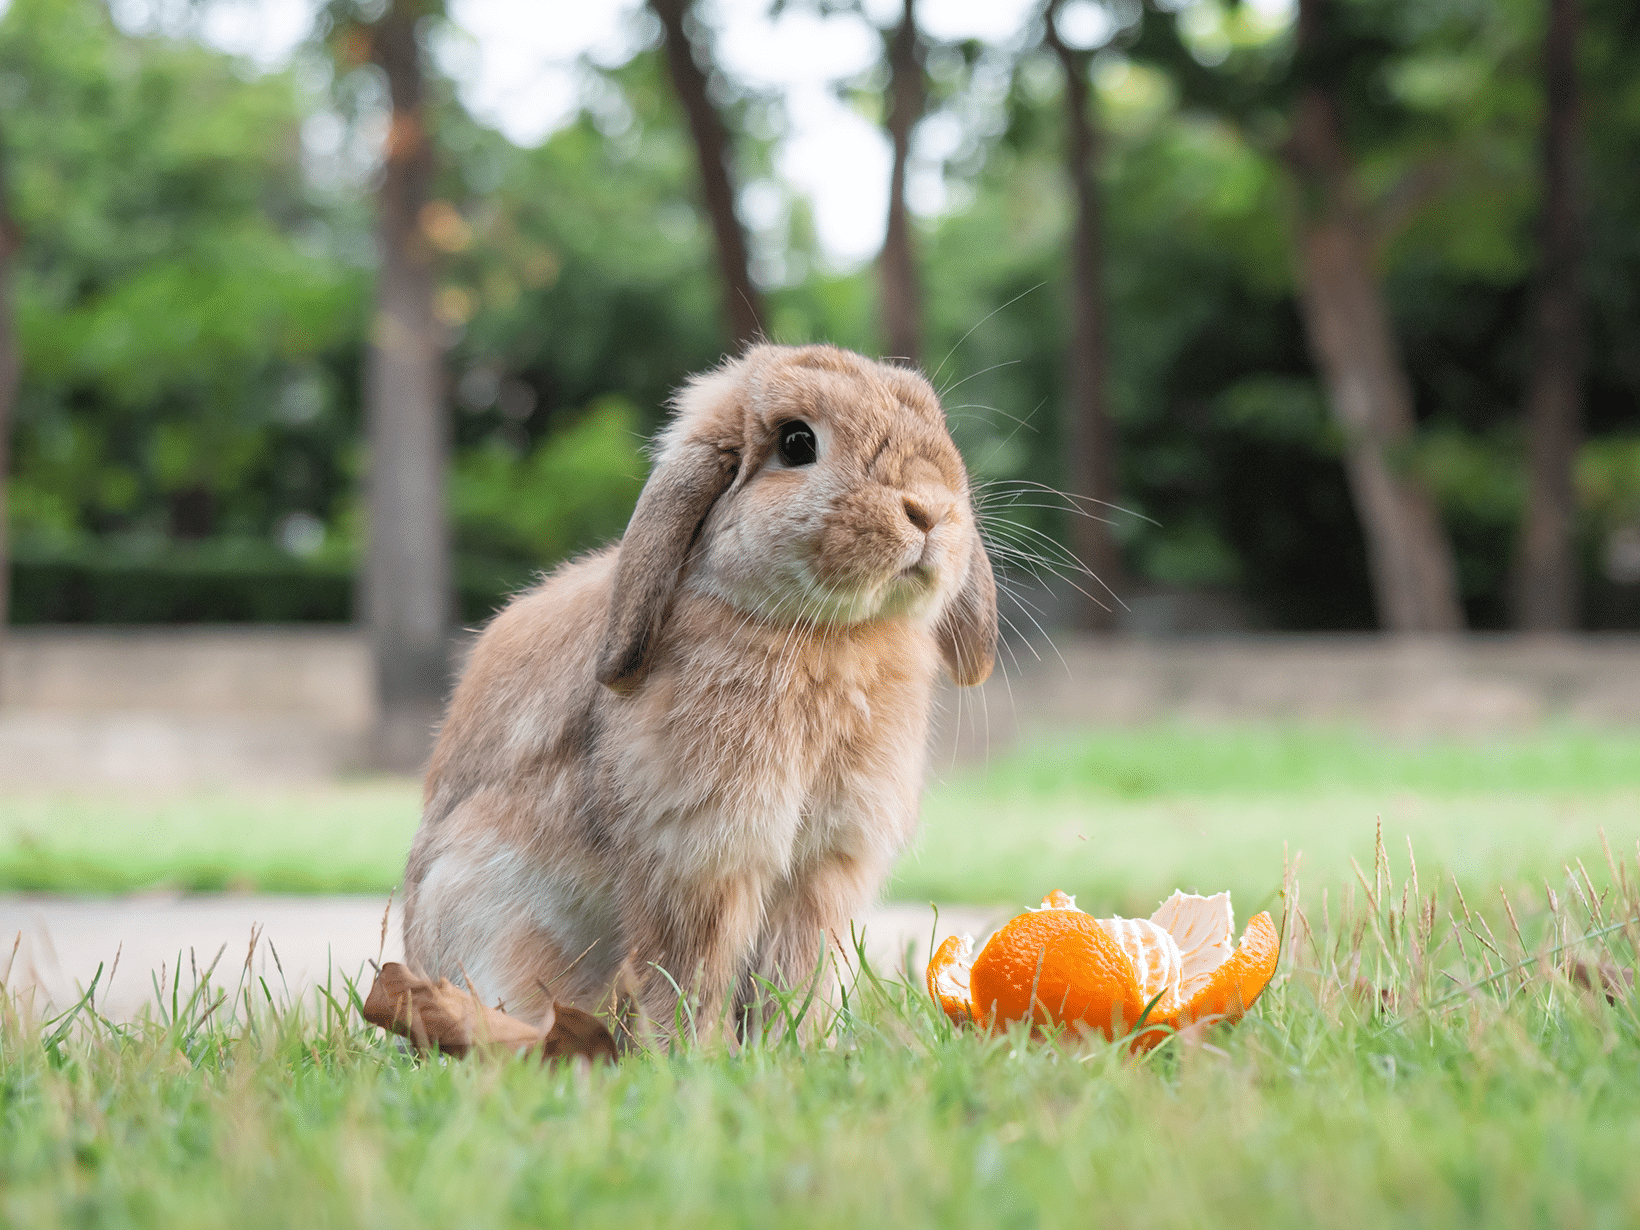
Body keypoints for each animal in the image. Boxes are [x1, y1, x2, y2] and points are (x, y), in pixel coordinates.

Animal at [401, 344, 990, 1043]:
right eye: (797, 442)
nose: (929, 510)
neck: (828, 633)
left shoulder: (822, 870)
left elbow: (795, 978)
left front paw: (792, 1049)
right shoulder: (700, 856)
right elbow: (690, 975)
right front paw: (696, 1054)